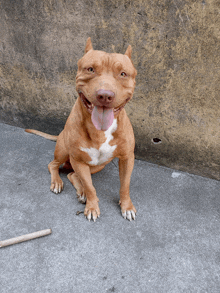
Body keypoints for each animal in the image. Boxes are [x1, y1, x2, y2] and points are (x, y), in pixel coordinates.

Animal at [25, 38, 136, 221]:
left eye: (123, 74)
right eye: (90, 69)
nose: (105, 95)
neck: (100, 131)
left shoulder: (127, 157)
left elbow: (125, 185)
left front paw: (126, 206)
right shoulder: (77, 159)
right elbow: (91, 187)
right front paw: (92, 206)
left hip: (99, 165)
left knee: (73, 174)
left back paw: (80, 191)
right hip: (64, 151)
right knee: (53, 165)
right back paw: (59, 182)